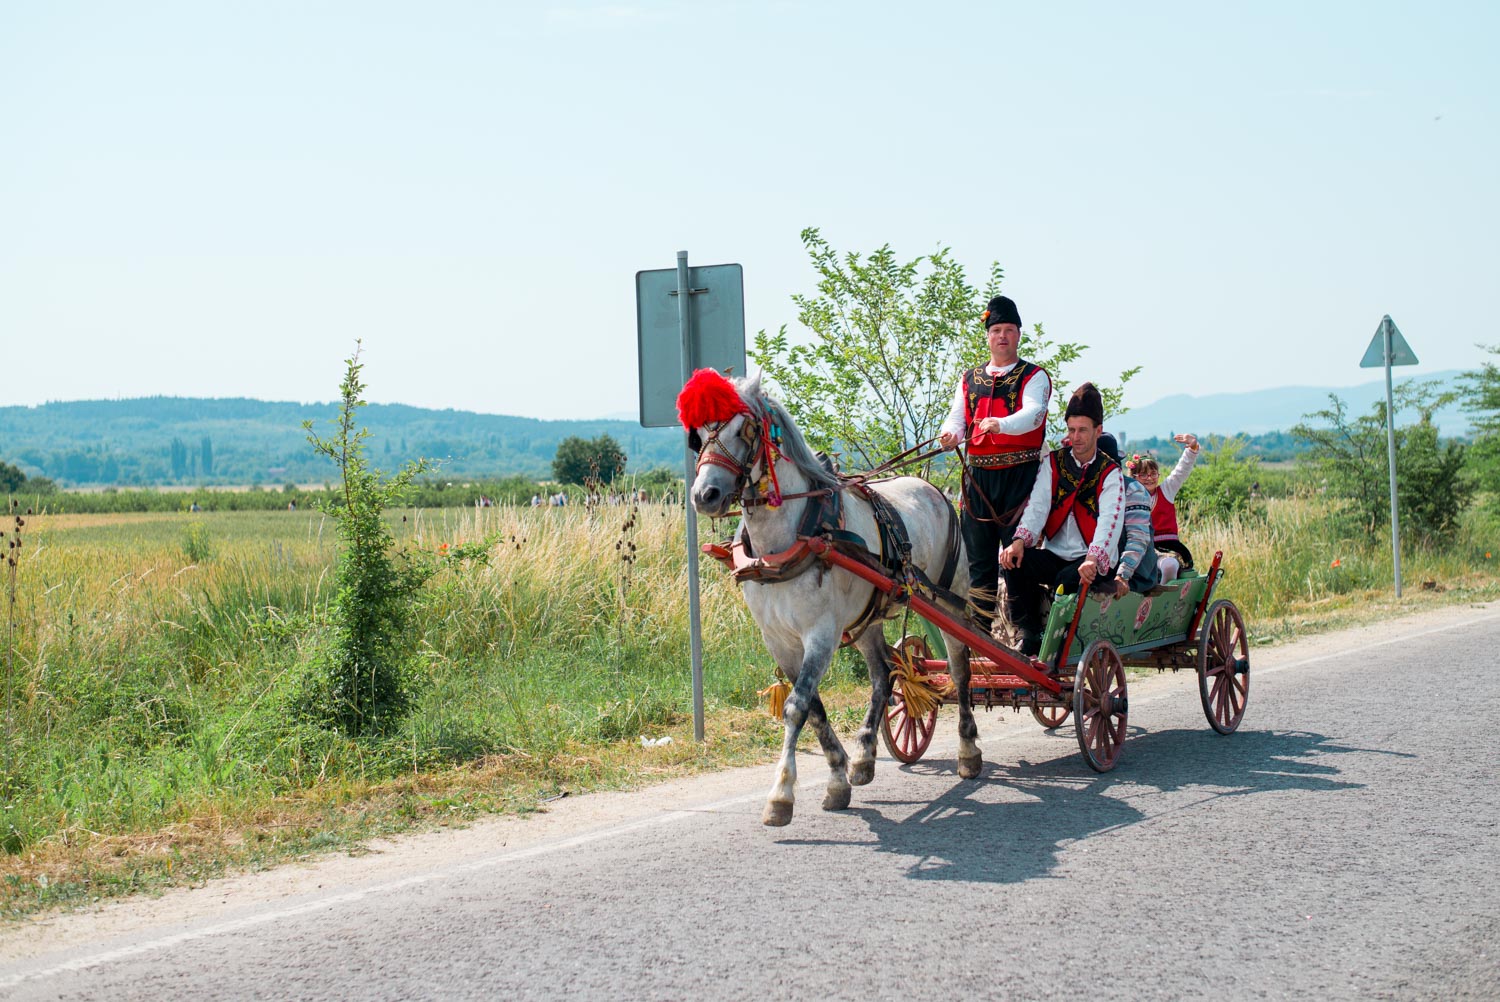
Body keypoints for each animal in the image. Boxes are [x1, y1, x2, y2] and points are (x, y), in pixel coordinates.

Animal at [681, 372, 984, 828]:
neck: (791, 537)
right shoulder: (779, 641)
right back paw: (864, 756)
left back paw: (968, 751)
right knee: (883, 676)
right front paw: (840, 776)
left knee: (960, 668)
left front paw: (781, 795)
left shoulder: (821, 634)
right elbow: (815, 709)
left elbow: (796, 707)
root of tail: (934, 488)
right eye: (698, 435)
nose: (705, 495)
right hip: (866, 618)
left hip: (949, 602)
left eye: (743, 429)